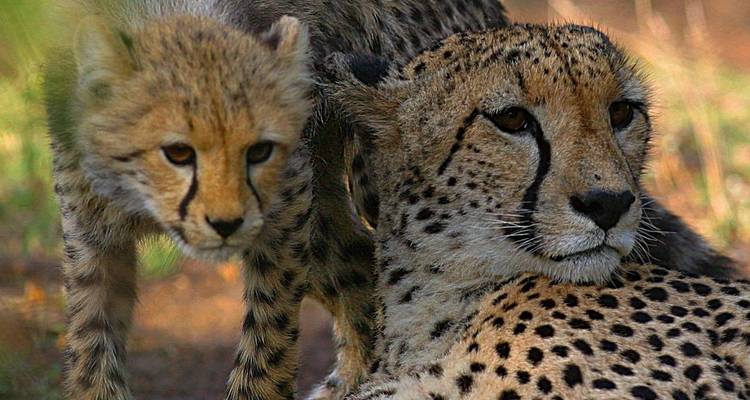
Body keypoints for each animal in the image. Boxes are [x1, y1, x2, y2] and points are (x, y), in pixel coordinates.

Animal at [43, 1, 511, 399]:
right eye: (177, 151)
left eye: (259, 151)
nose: (225, 222)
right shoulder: (91, 233)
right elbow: (90, 347)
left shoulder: (284, 214)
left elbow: (268, 345)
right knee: (358, 265)